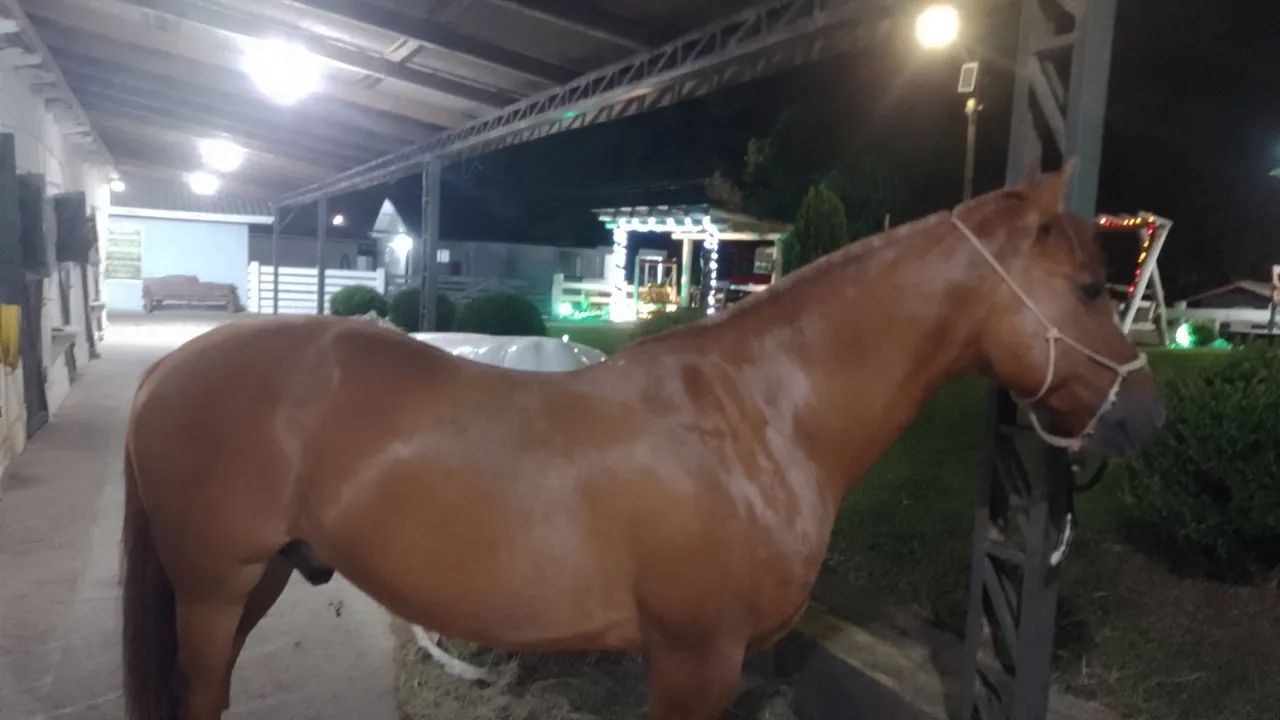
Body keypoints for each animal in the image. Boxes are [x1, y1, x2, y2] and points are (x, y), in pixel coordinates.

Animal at [121, 166, 1164, 720]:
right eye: (1087, 289)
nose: (1140, 416)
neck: (758, 417)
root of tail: (171, 370)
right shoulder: (695, 656)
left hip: (253, 579)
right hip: (216, 586)